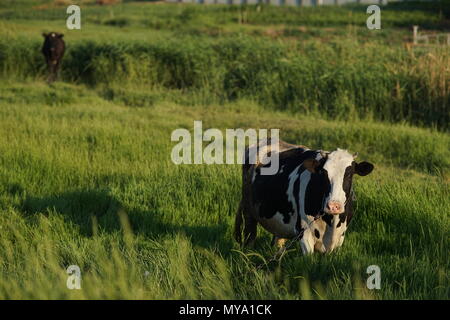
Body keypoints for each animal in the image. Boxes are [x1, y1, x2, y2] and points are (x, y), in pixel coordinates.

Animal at [234, 140, 374, 255]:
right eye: (324, 173)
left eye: (349, 174)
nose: (333, 206)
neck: (331, 222)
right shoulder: (305, 234)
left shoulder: (340, 238)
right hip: (249, 213)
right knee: (250, 238)